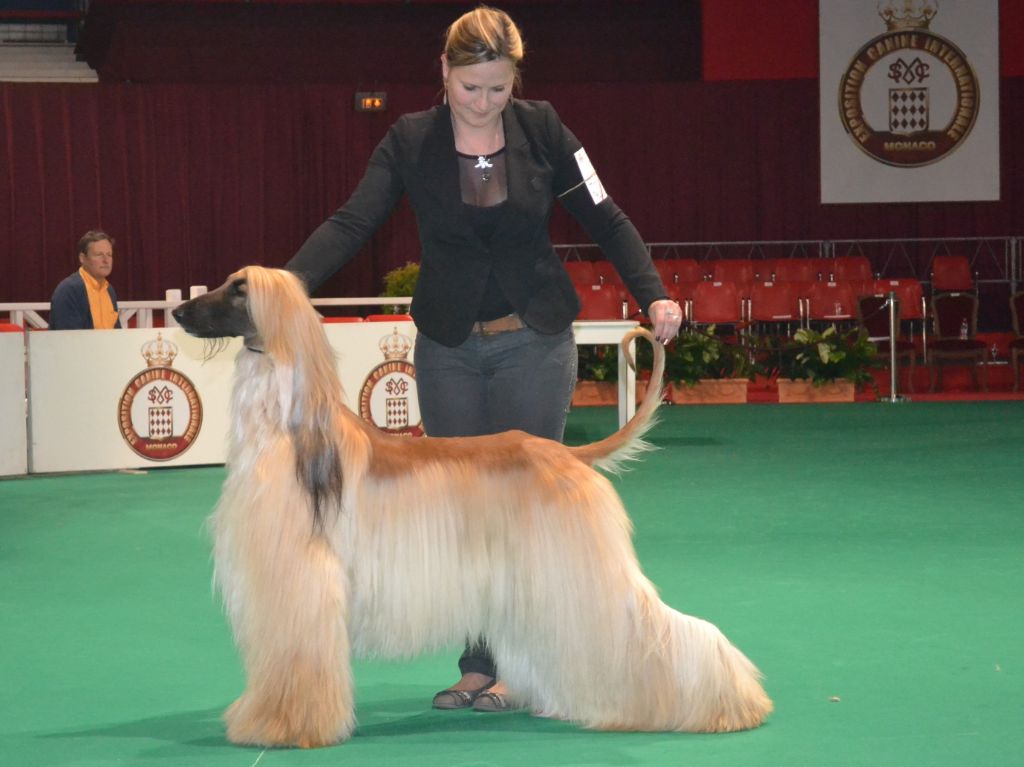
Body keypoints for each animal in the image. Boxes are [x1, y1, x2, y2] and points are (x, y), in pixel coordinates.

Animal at [172, 265, 772, 748]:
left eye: (239, 288)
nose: (177, 311)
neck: (292, 433)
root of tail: (566, 453)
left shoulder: (301, 580)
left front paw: (283, 728)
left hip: (581, 569)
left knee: (650, 629)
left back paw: (725, 705)